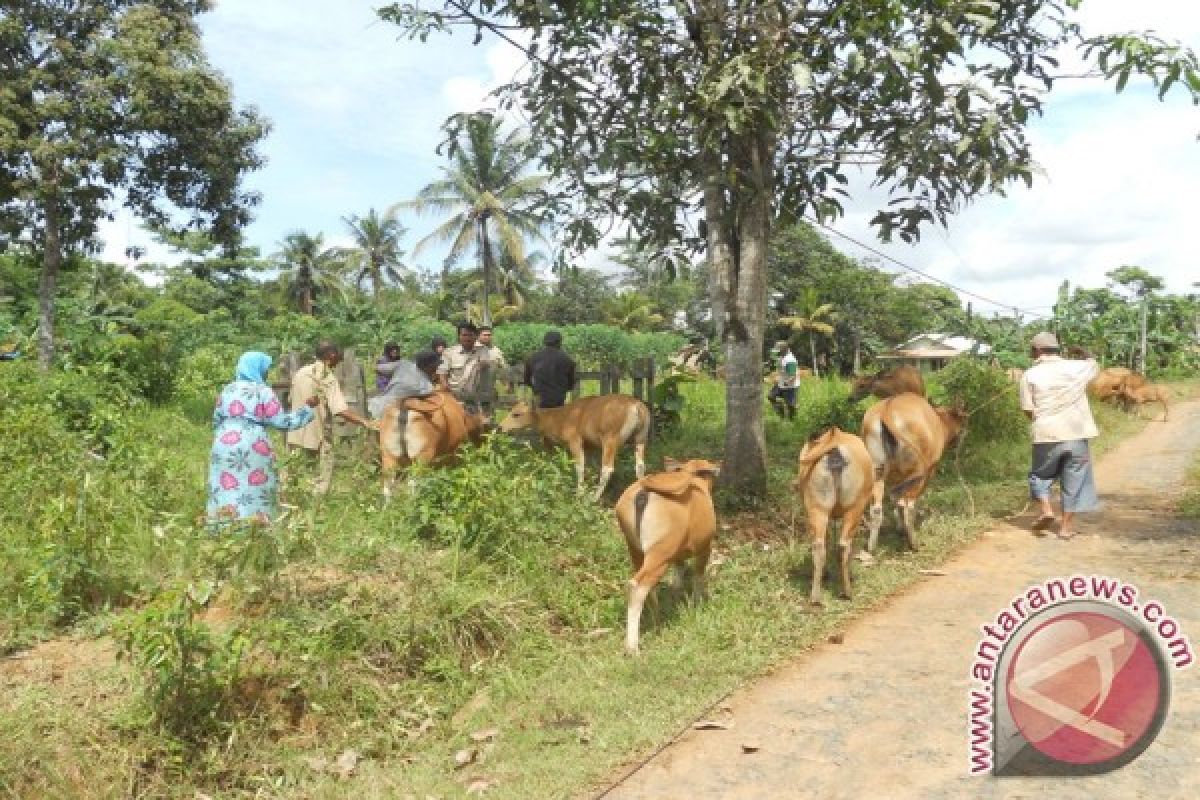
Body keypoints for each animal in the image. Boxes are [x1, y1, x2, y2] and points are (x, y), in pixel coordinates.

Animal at [496, 395, 648, 501]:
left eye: (516, 414)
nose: (500, 427)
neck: (561, 418)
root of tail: (636, 406)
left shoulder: (574, 440)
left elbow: (579, 466)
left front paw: (580, 493)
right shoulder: (590, 446)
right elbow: (589, 467)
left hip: (610, 439)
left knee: (607, 469)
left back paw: (593, 498)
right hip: (640, 438)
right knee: (640, 466)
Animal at [614, 460, 715, 652]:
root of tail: (644, 492)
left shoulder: (677, 555)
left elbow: (678, 578)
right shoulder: (704, 547)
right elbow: (698, 576)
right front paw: (696, 605)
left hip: (636, 550)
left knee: (647, 587)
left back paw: (657, 625)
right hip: (659, 554)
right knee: (637, 587)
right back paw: (632, 647)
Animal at [796, 429, 873, 604]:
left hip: (817, 508)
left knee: (819, 546)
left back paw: (816, 596)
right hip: (855, 508)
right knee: (844, 545)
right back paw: (847, 591)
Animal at [864, 393, 964, 551]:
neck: (939, 422)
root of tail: (886, 411)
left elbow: (895, 499)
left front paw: (899, 528)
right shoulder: (929, 471)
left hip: (877, 471)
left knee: (877, 508)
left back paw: (872, 546)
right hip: (917, 474)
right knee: (908, 507)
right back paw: (914, 543)